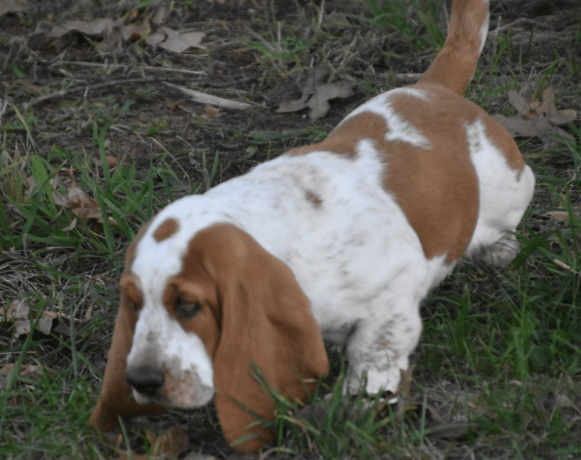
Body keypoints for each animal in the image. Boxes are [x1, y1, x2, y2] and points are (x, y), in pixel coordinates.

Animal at [89, 0, 536, 452]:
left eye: (188, 306)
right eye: (134, 303)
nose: (140, 380)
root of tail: (433, 89)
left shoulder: (394, 292)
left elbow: (373, 353)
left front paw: (357, 405)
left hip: (509, 185)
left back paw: (497, 248)